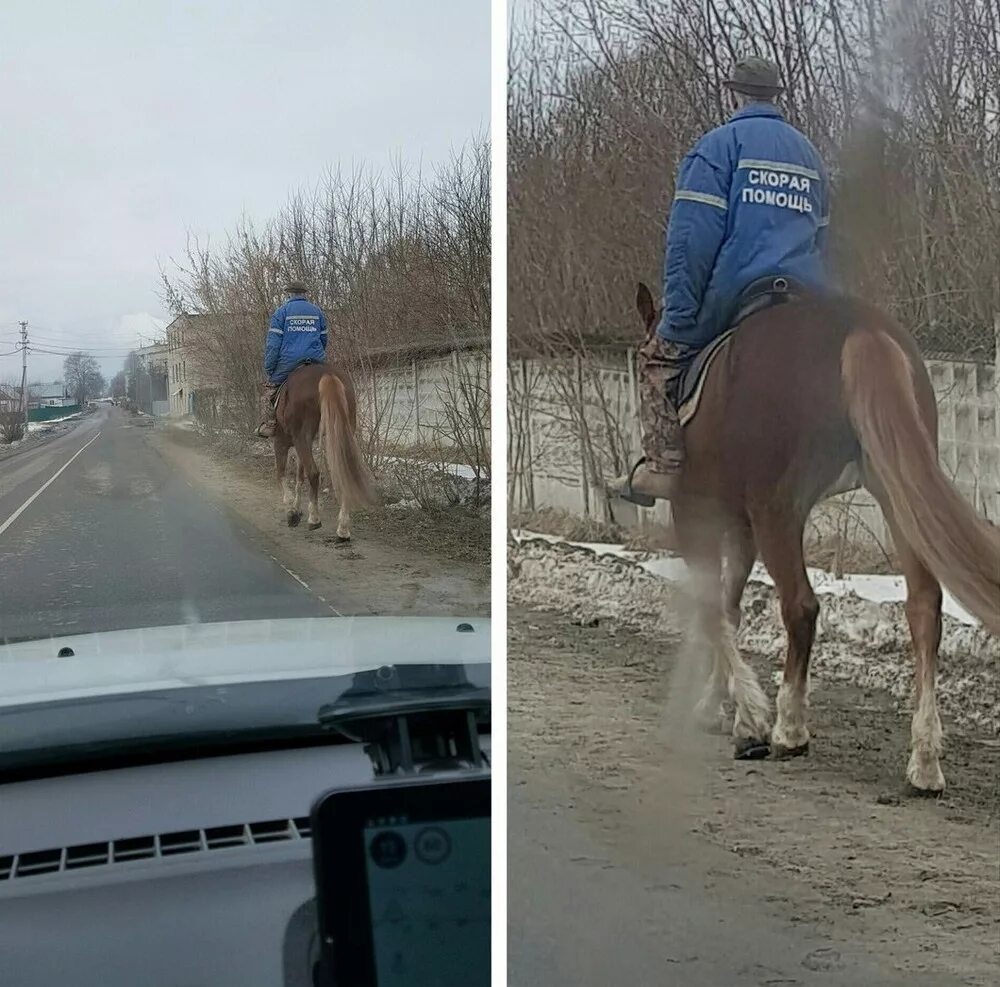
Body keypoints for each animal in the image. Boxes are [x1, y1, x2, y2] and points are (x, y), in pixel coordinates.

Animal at [272, 360, 376, 540]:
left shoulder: (282, 442)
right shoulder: (301, 445)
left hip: (302, 436)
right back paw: (343, 529)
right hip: (338, 433)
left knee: (314, 473)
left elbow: (282, 475)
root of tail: (327, 374)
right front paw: (296, 509)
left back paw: (314, 519)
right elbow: (299, 476)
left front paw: (291, 510)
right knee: (342, 472)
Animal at [632, 282, 1000, 792]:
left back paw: (789, 728)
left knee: (801, 605)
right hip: (894, 491)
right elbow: (729, 606)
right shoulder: (741, 527)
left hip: (779, 508)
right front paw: (717, 705)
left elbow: (713, 608)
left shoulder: (696, 515)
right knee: (924, 607)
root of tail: (857, 329)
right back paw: (924, 760)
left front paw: (749, 718)